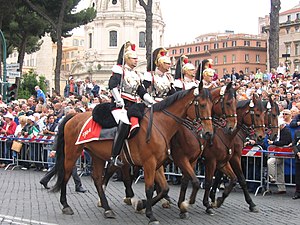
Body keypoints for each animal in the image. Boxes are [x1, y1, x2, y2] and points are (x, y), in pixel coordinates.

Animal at [52, 82, 214, 225]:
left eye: (212, 106)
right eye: (202, 105)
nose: (208, 133)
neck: (160, 125)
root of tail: (73, 116)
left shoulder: (158, 164)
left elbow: (165, 188)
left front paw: (143, 204)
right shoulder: (150, 163)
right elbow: (149, 189)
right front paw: (151, 214)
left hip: (98, 156)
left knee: (98, 179)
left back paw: (107, 208)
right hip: (72, 153)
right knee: (66, 175)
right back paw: (66, 205)